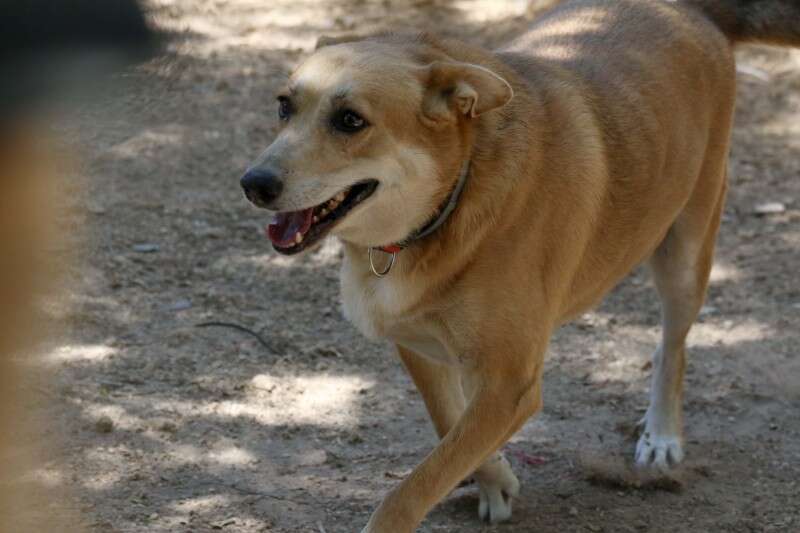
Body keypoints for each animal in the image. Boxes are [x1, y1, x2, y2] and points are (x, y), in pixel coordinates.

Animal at [240, 1, 800, 530]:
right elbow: (448, 429)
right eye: (284, 106)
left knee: (672, 349)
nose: (253, 183)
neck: (453, 199)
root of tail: (691, 9)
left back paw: (661, 433)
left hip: (685, 253)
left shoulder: (510, 384)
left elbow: (413, 487)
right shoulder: (423, 351)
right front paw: (496, 480)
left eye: (351, 120)